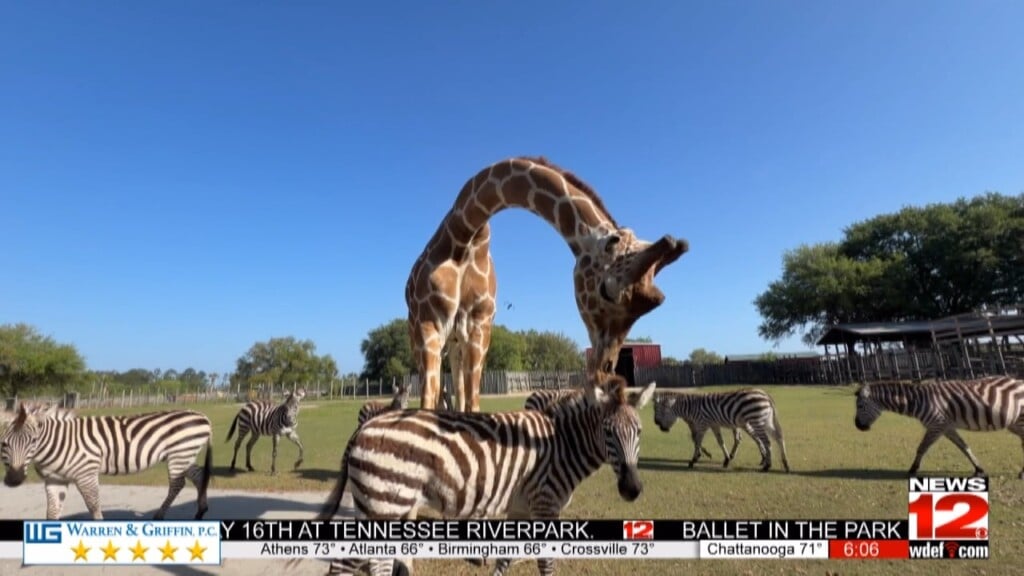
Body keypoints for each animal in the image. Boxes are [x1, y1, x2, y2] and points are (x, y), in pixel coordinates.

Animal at [0, 403, 213, 520]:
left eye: (33, 441)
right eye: (4, 443)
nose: (14, 480)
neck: (58, 443)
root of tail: (202, 416)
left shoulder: (86, 473)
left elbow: (93, 505)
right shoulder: (54, 479)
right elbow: (51, 512)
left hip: (179, 454)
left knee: (178, 484)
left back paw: (160, 515)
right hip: (184, 455)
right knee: (198, 476)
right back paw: (201, 511)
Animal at [303, 374, 655, 576]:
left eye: (639, 431)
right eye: (607, 432)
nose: (633, 489)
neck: (561, 444)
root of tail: (363, 429)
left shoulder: (520, 508)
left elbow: (506, 559)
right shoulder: (545, 505)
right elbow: (546, 562)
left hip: (382, 505)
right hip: (383, 504)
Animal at [406, 156, 689, 413]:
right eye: (606, 292)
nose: (603, 375)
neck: (466, 235)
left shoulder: (480, 326)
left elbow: (471, 404)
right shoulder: (428, 325)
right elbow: (427, 402)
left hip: (456, 342)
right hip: (420, 337)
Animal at [653, 388, 790, 472]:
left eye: (658, 410)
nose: (658, 425)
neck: (691, 408)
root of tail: (766, 395)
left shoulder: (702, 424)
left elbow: (697, 441)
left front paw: (693, 460)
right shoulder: (714, 425)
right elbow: (720, 442)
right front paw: (727, 460)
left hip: (756, 421)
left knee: (766, 441)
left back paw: (767, 465)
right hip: (765, 421)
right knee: (778, 437)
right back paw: (785, 464)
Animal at [854, 376, 1024, 479]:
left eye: (860, 406)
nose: (857, 426)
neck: (918, 401)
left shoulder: (936, 425)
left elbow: (922, 448)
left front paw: (913, 469)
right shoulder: (946, 427)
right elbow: (964, 447)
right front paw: (978, 469)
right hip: (1014, 424)